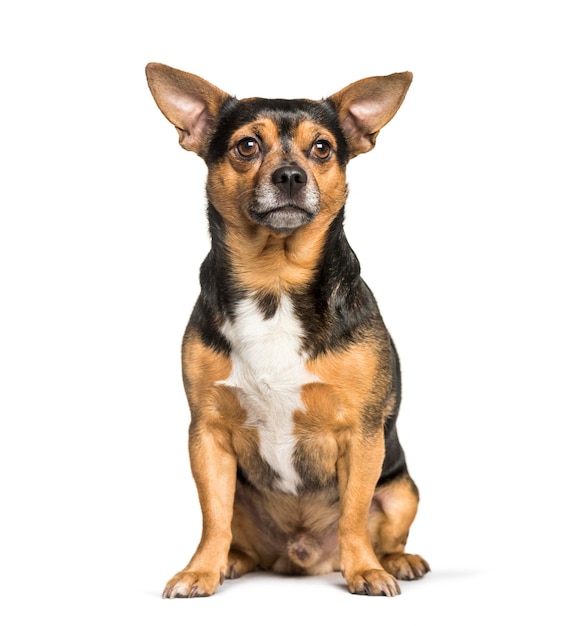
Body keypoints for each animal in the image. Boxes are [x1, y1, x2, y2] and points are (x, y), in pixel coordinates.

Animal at [146, 62, 430, 596]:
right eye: (246, 146)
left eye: (322, 148)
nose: (291, 175)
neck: (274, 284)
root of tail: (302, 558)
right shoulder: (207, 435)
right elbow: (212, 518)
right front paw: (200, 570)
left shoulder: (362, 437)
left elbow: (354, 515)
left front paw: (366, 571)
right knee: (234, 530)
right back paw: (232, 561)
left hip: (403, 489)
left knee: (385, 529)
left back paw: (395, 560)